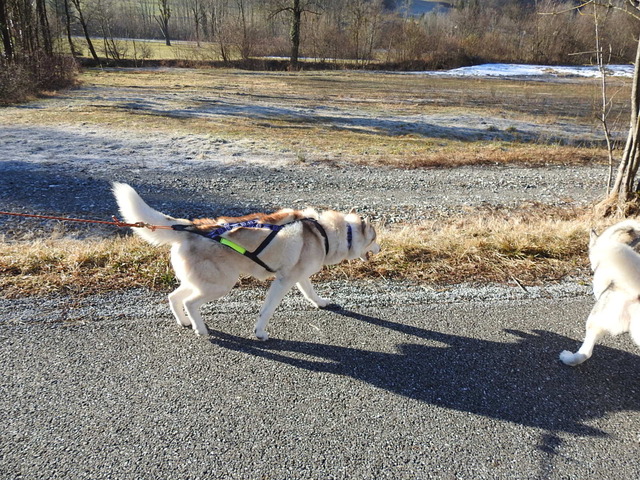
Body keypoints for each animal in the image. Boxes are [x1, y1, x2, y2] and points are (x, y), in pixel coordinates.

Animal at [112, 182, 380, 340]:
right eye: (376, 237)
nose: (380, 248)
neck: (325, 232)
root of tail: (192, 227)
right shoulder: (282, 282)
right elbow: (267, 310)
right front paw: (260, 332)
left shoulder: (299, 277)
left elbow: (310, 292)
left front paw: (321, 303)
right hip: (220, 285)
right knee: (189, 302)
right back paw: (200, 329)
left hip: (201, 281)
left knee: (173, 297)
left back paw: (185, 322)